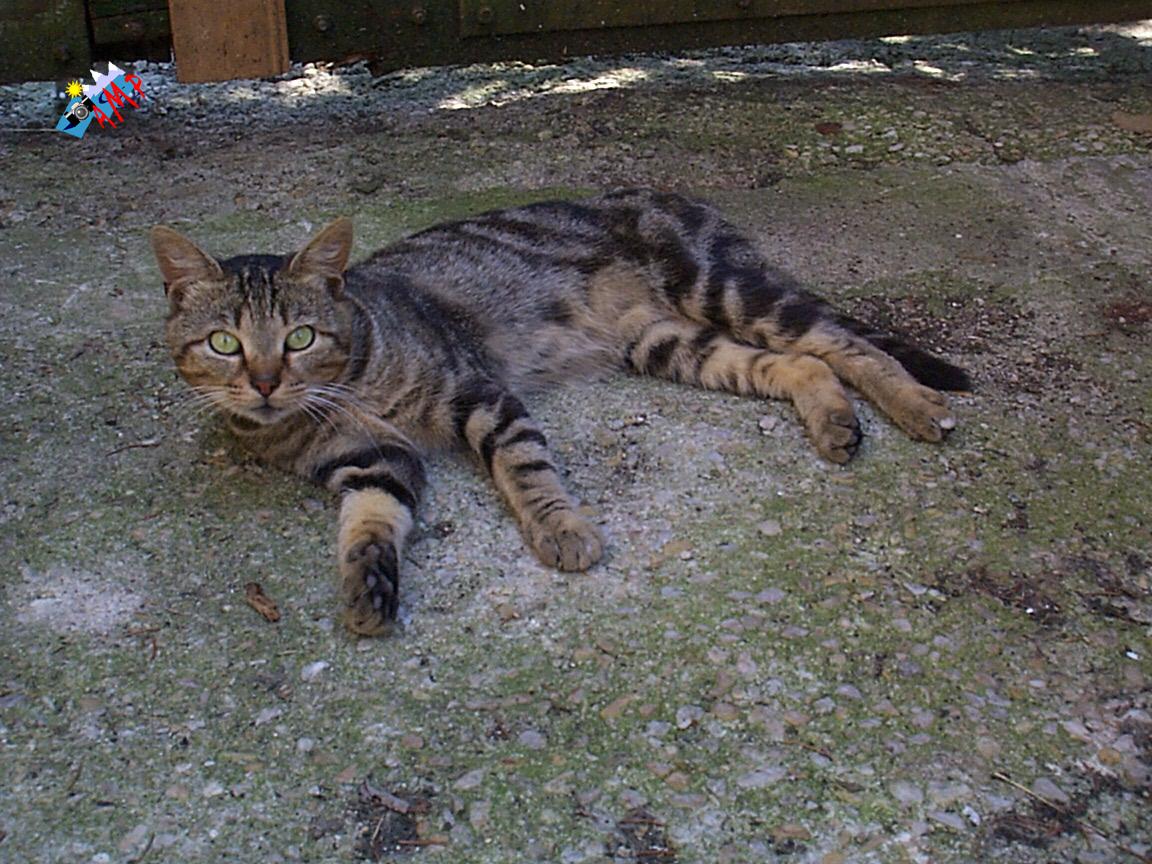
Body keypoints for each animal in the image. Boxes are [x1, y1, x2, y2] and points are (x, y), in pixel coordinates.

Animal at [151, 188, 970, 636]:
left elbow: (524, 467)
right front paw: (368, 588)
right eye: (224, 343)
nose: (263, 383)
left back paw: (917, 404)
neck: (335, 401)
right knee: (799, 364)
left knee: (840, 341)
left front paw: (561, 529)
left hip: (730, 291)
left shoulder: (478, 393)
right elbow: (369, 527)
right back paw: (834, 421)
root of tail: (668, 193)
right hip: (668, 343)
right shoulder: (374, 463)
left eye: (299, 337)